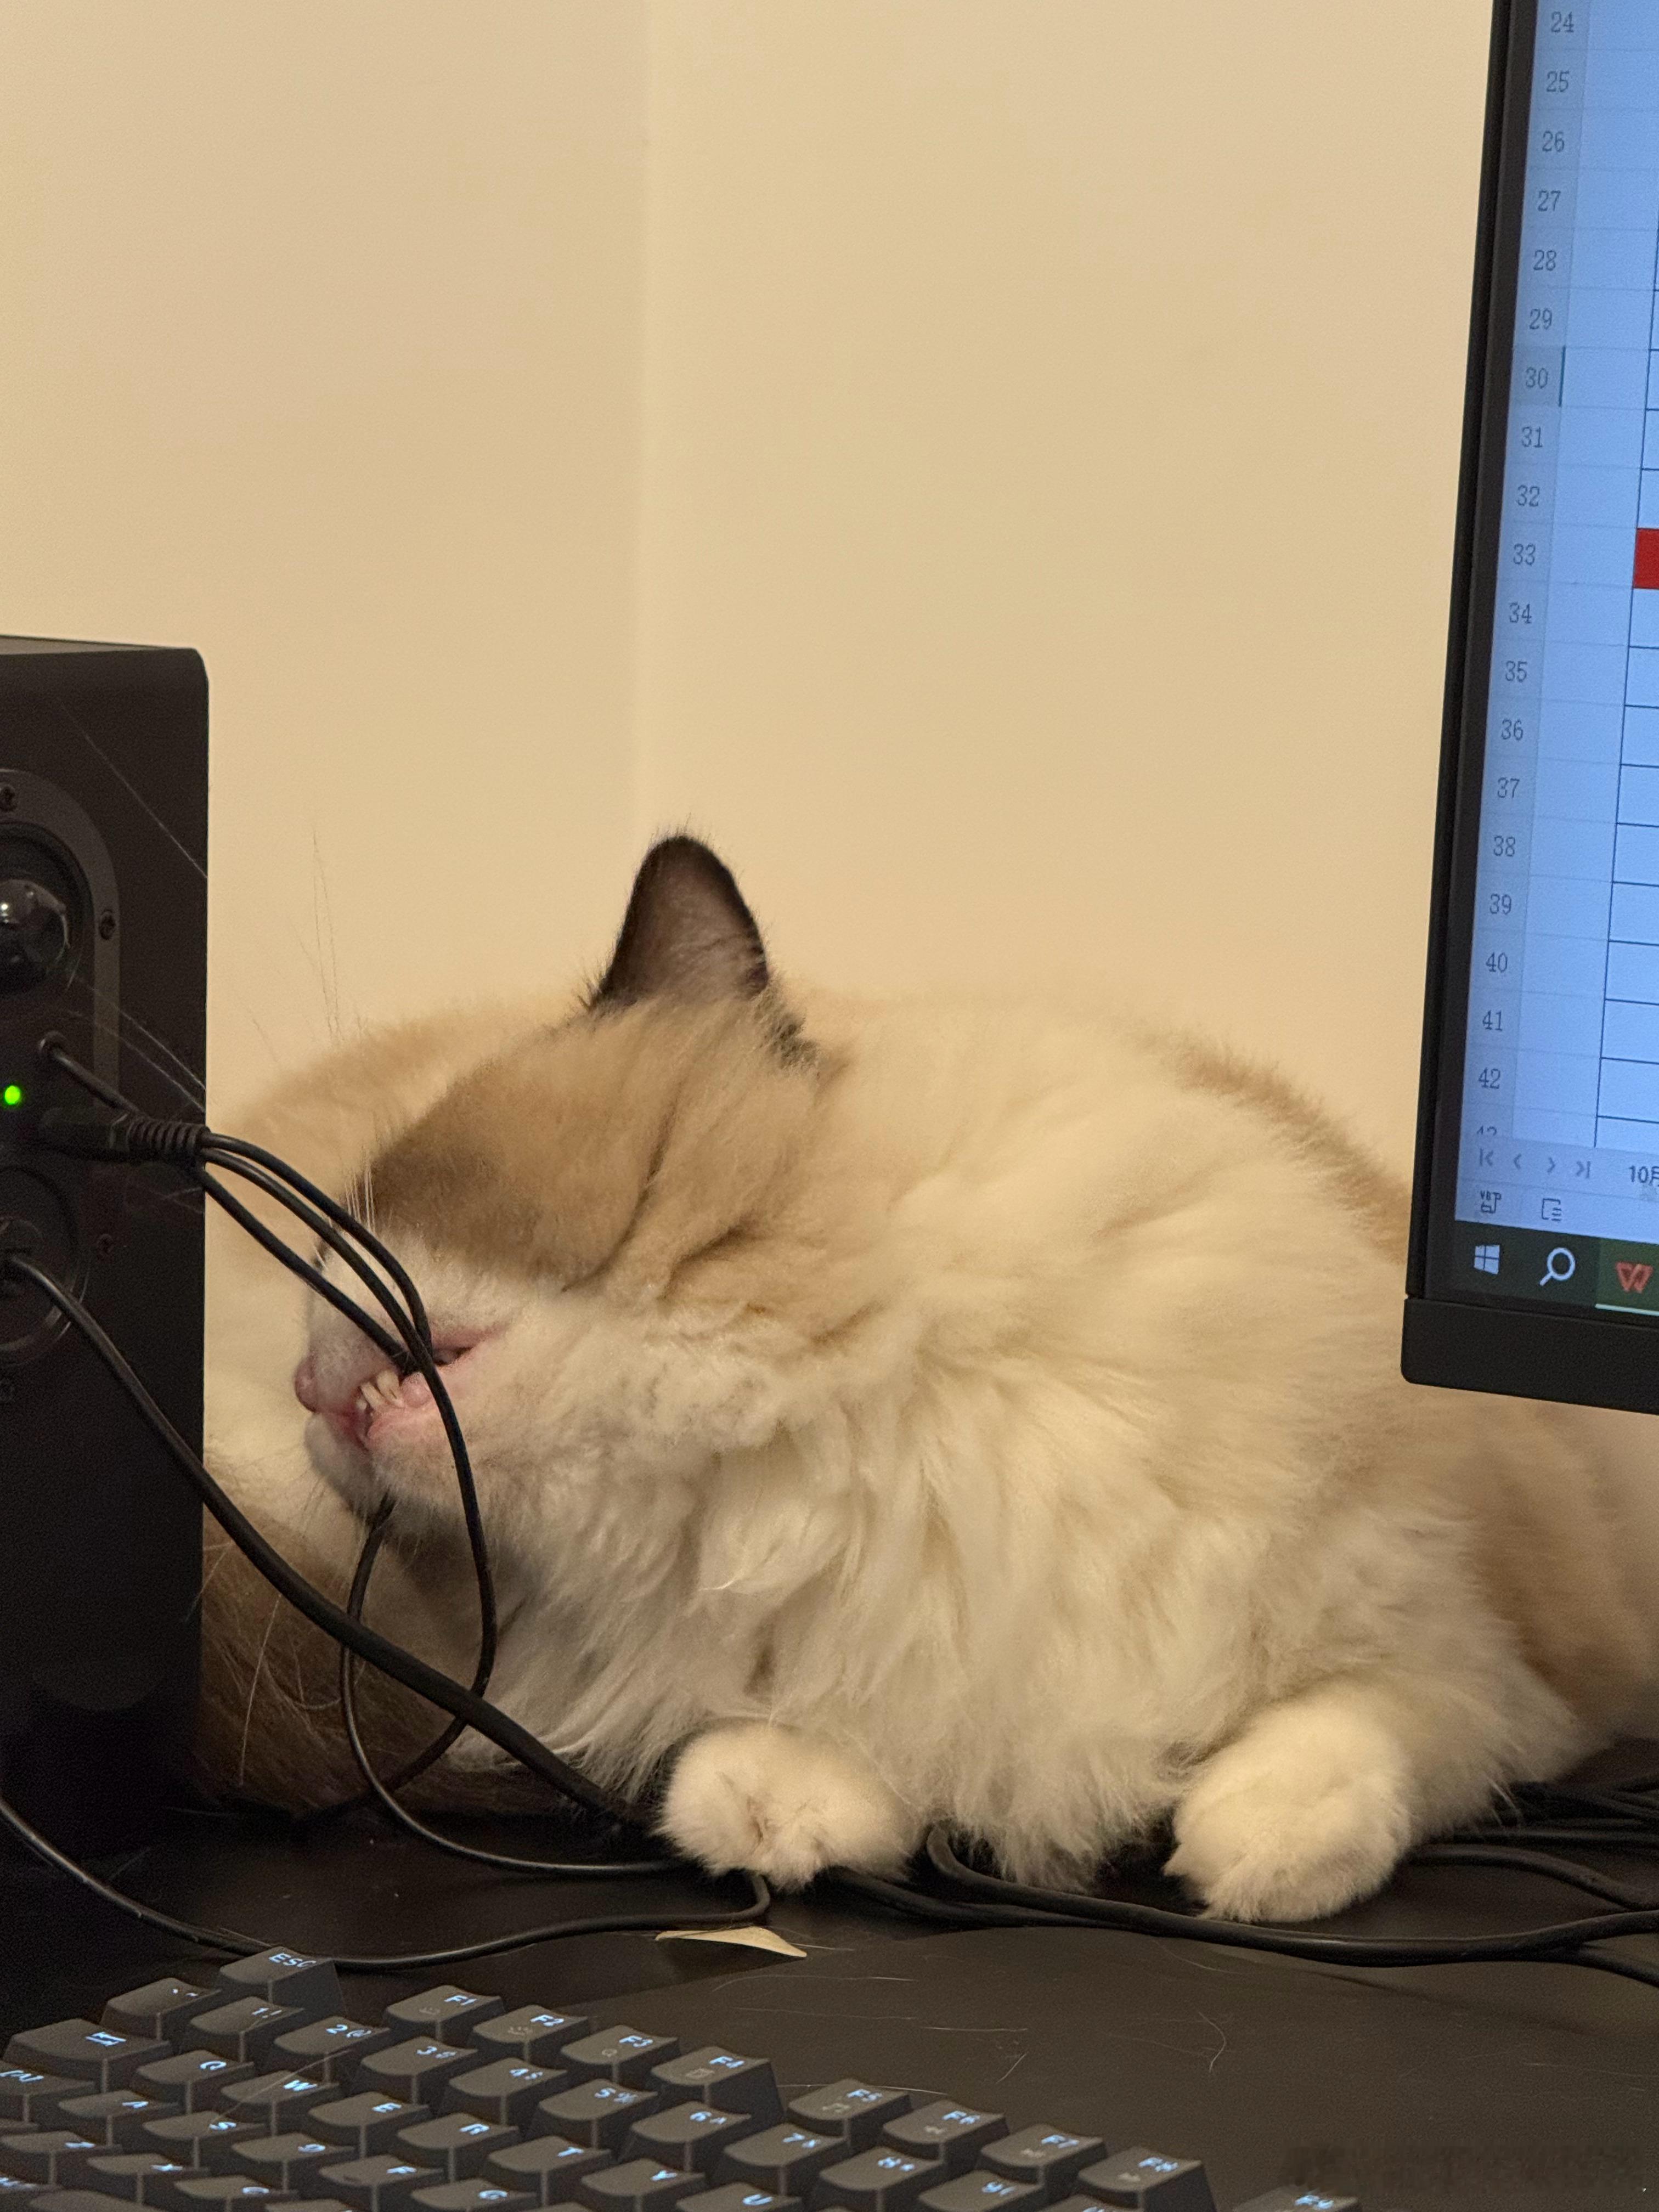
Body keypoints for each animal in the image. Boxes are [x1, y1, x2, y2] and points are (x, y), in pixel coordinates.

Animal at [202, 835, 1659, 1921]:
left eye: (371, 1220)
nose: (310, 1382)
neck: (829, 1443)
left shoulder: (1517, 1656)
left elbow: (1378, 1723)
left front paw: (1246, 1851)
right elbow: (811, 1760)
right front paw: (769, 1810)